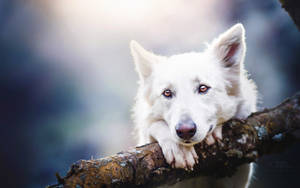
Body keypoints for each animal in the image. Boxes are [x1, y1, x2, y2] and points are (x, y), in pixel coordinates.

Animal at [130, 23, 256, 188]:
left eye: (203, 88)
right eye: (167, 93)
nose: (185, 131)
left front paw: (214, 132)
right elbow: (154, 125)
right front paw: (179, 149)